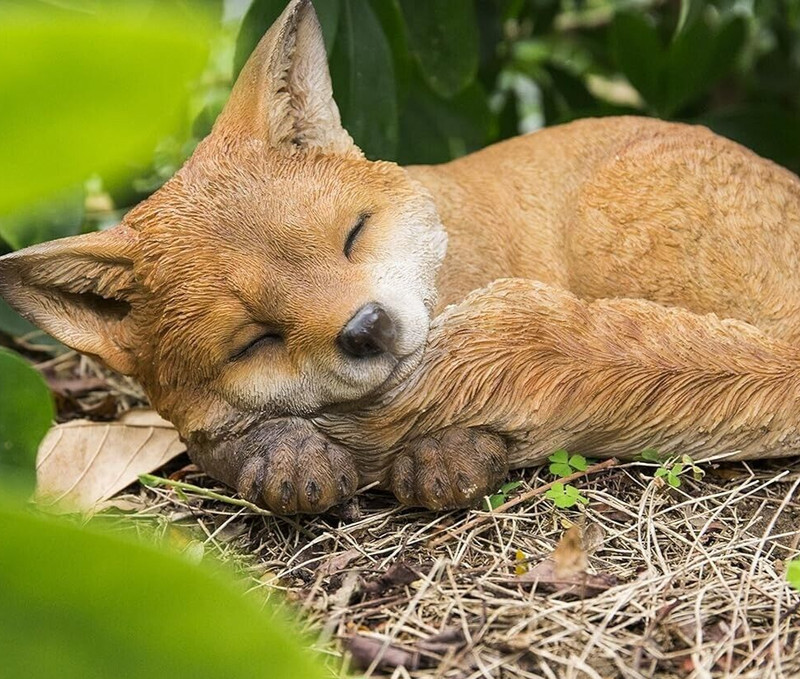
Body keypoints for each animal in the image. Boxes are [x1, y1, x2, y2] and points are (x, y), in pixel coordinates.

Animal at [2, 0, 800, 514]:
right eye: (256, 340)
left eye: (352, 235)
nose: (368, 329)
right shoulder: (196, 423)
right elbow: (227, 441)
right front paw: (288, 454)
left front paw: (447, 453)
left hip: (612, 230)